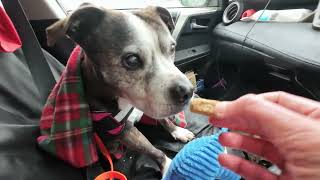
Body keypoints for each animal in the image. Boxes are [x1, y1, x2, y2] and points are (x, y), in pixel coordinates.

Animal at [46, 3, 194, 174]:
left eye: (172, 48)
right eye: (132, 60)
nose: (188, 91)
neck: (123, 99)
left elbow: (163, 119)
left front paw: (177, 130)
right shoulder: (122, 130)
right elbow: (152, 149)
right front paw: (168, 165)